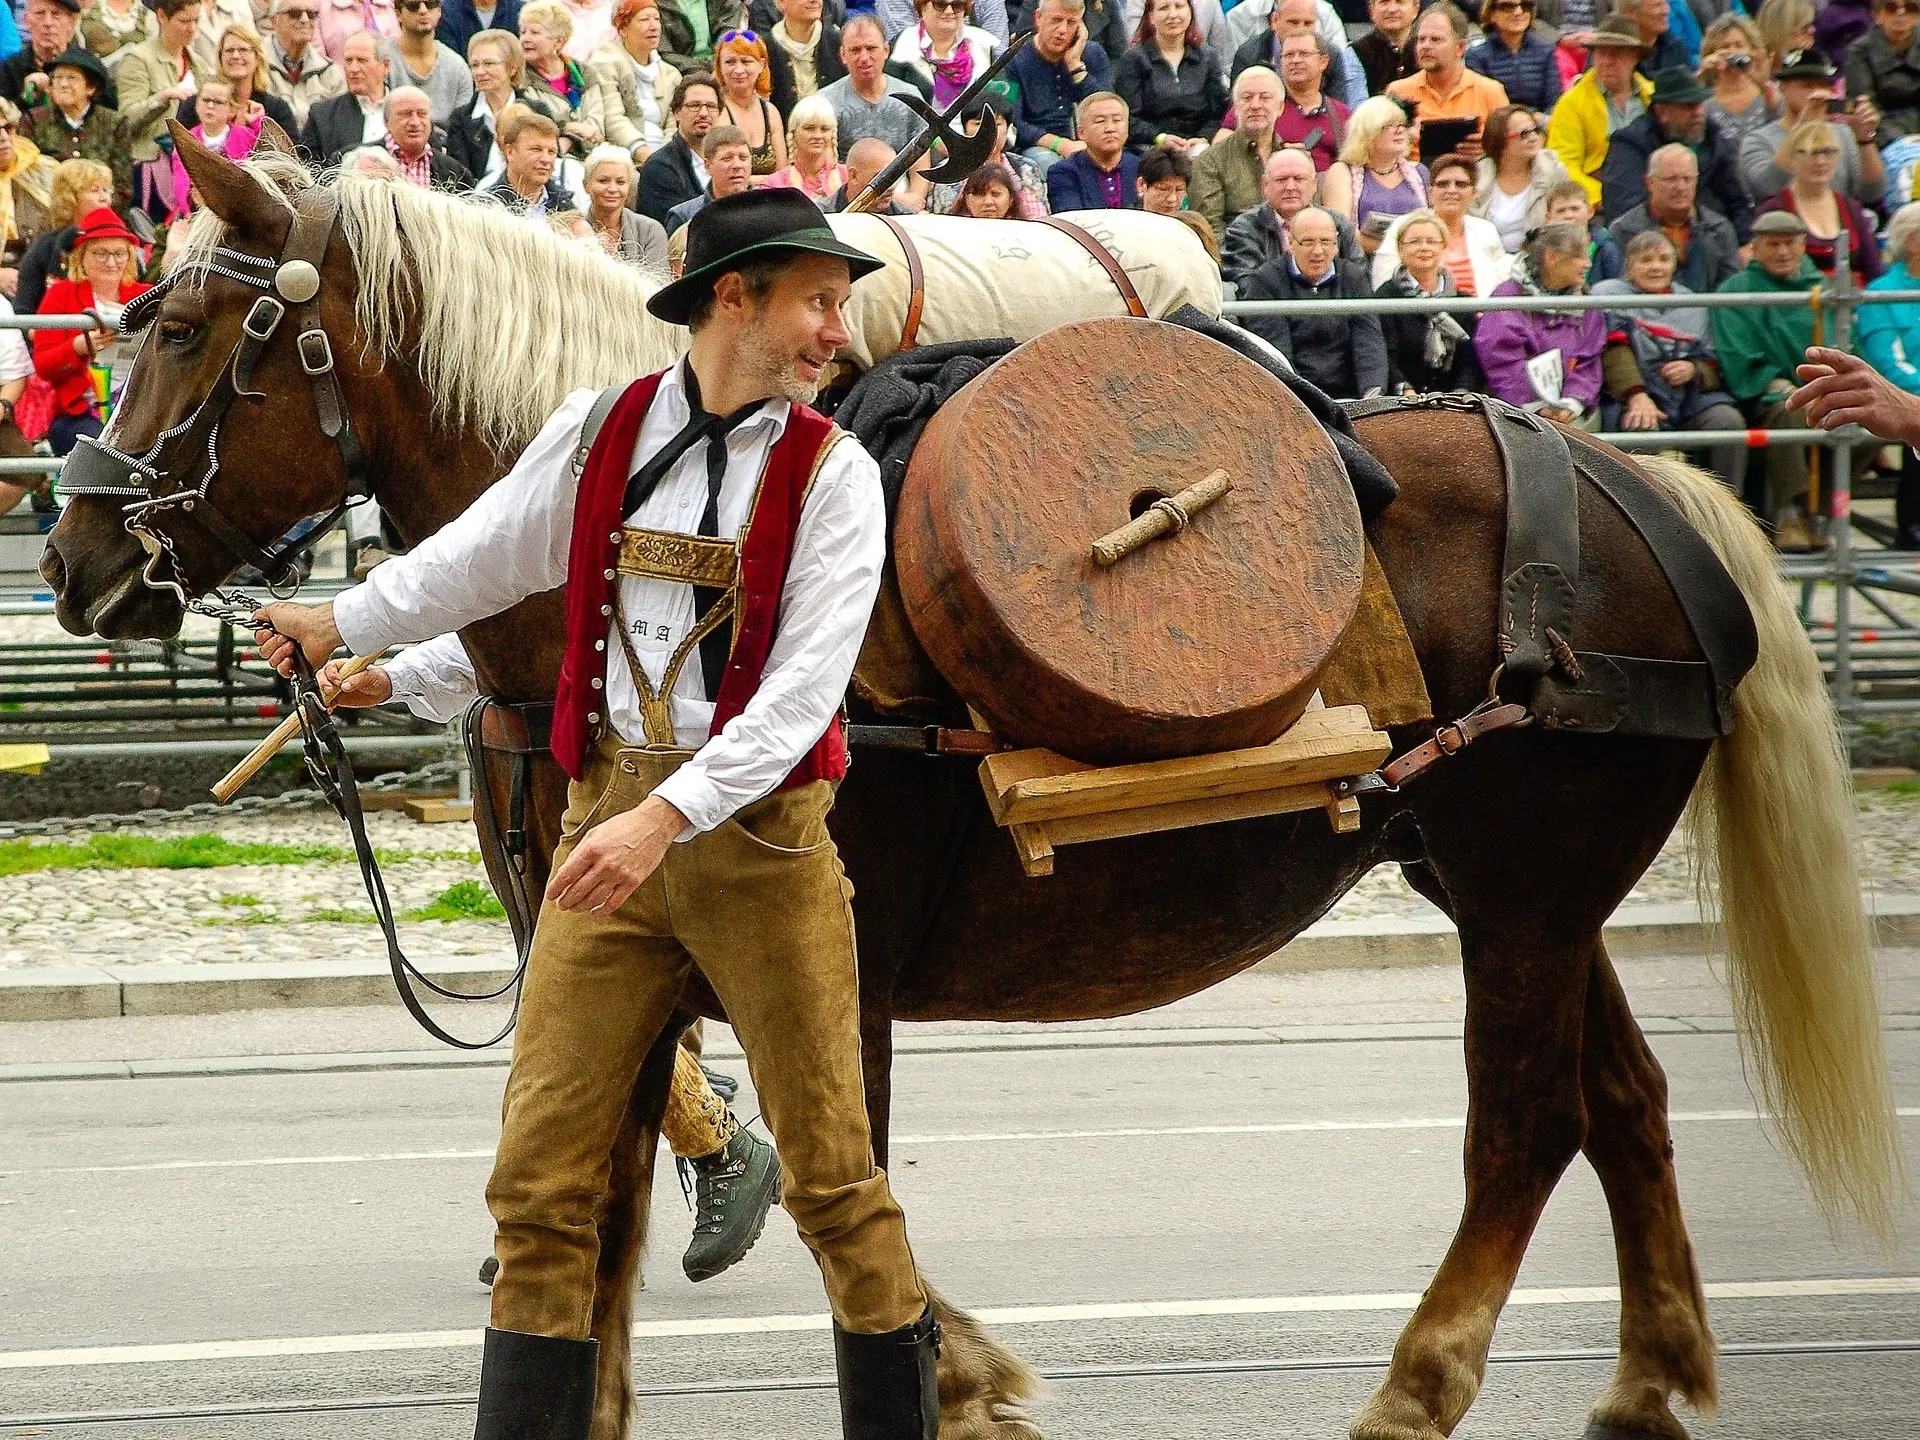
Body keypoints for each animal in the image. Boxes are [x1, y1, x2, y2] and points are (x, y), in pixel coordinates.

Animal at [41, 135, 1904, 1440]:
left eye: (191, 327)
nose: (70, 555)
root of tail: (1623, 476)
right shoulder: (628, 964)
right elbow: (612, 1210)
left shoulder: (826, 967)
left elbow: (828, 1190)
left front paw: (960, 1371)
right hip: (1517, 891)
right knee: (1625, 1103)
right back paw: (1646, 1378)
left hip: (1517, 896)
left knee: (1527, 1125)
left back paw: (1417, 1387)